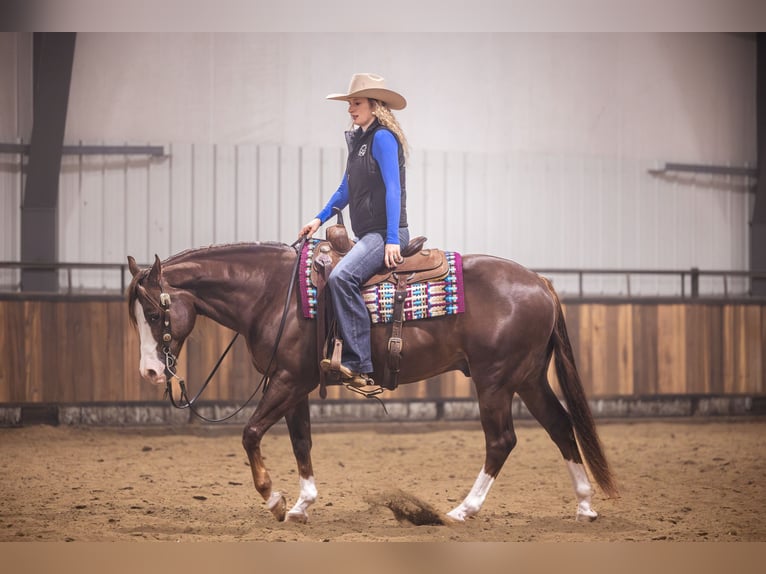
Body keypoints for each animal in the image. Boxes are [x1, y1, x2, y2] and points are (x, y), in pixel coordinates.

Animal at [127, 241, 618, 523]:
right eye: (135, 317)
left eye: (153, 312)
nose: (150, 372)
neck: (273, 292)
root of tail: (540, 282)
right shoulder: (294, 384)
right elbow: (301, 441)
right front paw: (303, 504)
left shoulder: (288, 380)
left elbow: (250, 433)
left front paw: (274, 499)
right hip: (529, 378)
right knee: (560, 427)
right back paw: (585, 505)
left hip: (495, 381)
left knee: (502, 441)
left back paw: (463, 510)